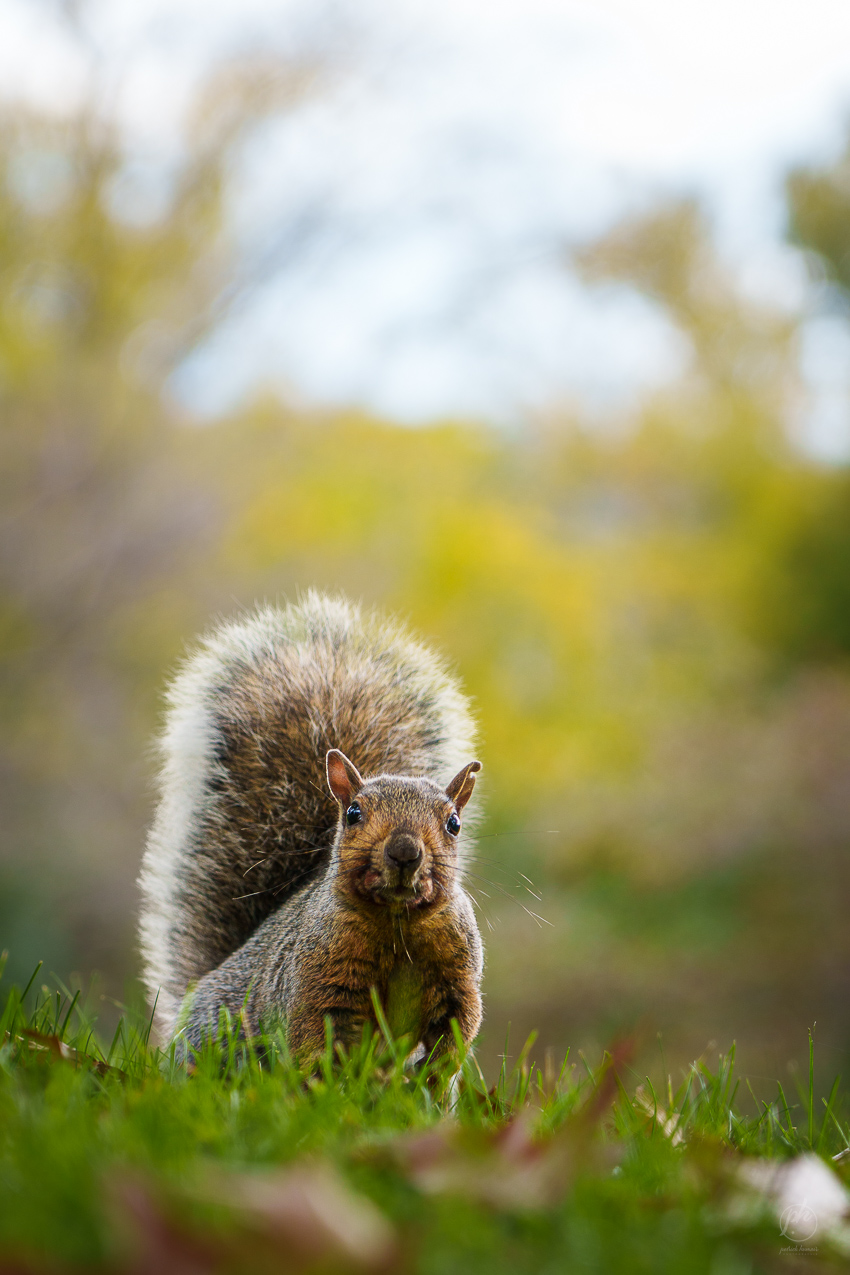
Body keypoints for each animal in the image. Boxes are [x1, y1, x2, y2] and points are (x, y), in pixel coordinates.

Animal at [138, 591, 484, 1068]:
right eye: (353, 813)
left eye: (453, 823)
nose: (404, 852)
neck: (397, 923)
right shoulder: (317, 979)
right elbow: (315, 1038)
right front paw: (334, 1082)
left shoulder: (457, 981)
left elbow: (454, 1034)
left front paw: (430, 1080)